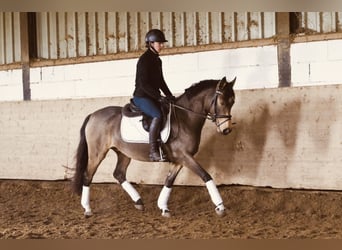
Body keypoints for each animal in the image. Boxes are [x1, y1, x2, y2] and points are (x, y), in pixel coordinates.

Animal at [71, 75, 238, 217]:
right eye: (222, 102)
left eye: (233, 102)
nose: (226, 130)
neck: (185, 119)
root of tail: (93, 115)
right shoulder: (185, 156)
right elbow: (206, 175)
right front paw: (220, 207)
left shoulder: (179, 159)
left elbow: (169, 181)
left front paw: (163, 207)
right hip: (97, 153)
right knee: (88, 175)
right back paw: (87, 209)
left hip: (123, 153)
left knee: (119, 174)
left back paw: (138, 202)